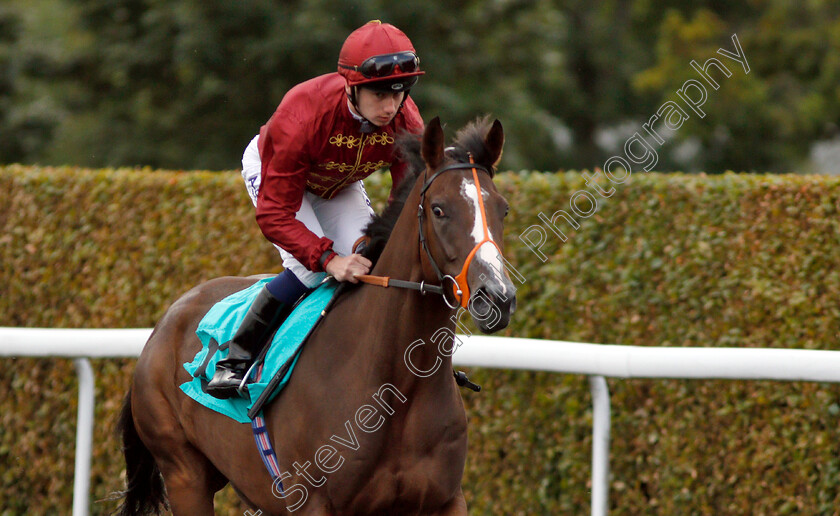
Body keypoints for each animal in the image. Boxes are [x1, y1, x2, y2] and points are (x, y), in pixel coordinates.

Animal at [115, 117, 516, 516]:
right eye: (439, 209)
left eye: (503, 209)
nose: (497, 297)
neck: (396, 385)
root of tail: (164, 323)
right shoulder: (312, 500)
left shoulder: (446, 500)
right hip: (185, 474)